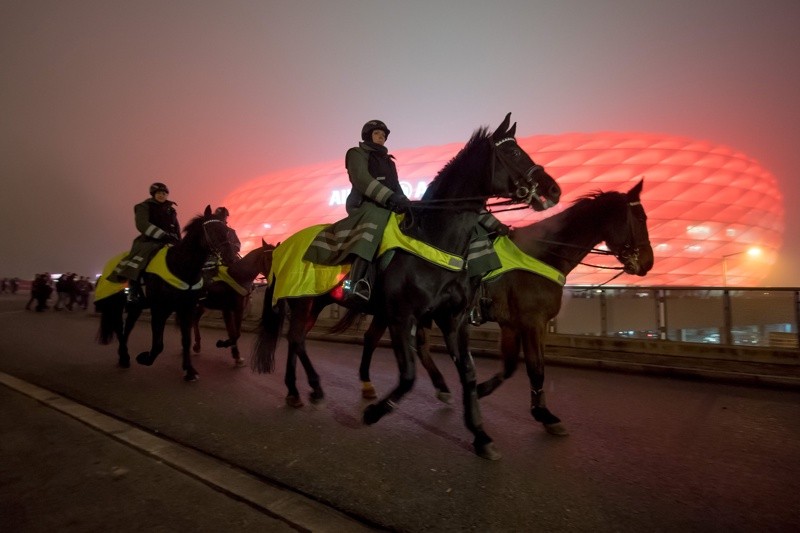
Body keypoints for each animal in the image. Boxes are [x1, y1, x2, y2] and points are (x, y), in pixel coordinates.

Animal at [96, 206, 238, 380]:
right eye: (212, 230)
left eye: (227, 230)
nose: (231, 258)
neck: (180, 266)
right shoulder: (159, 309)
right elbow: (158, 344)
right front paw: (145, 358)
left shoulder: (185, 309)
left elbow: (185, 340)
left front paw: (189, 370)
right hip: (116, 305)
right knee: (119, 327)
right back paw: (123, 357)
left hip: (136, 307)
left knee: (127, 326)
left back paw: (124, 356)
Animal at [253, 112, 560, 458]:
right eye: (514, 153)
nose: (554, 190)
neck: (436, 237)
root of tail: (283, 247)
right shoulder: (402, 316)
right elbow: (409, 375)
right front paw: (374, 412)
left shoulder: (452, 320)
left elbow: (467, 373)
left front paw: (480, 435)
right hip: (303, 301)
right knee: (296, 339)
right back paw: (312, 388)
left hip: (314, 302)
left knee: (296, 340)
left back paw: (298, 390)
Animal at [360, 179, 652, 432]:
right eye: (639, 219)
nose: (647, 263)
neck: (542, 254)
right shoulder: (532, 322)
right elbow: (535, 368)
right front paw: (544, 414)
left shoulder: (515, 325)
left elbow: (512, 367)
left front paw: (480, 391)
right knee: (379, 338)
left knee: (415, 346)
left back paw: (437, 387)